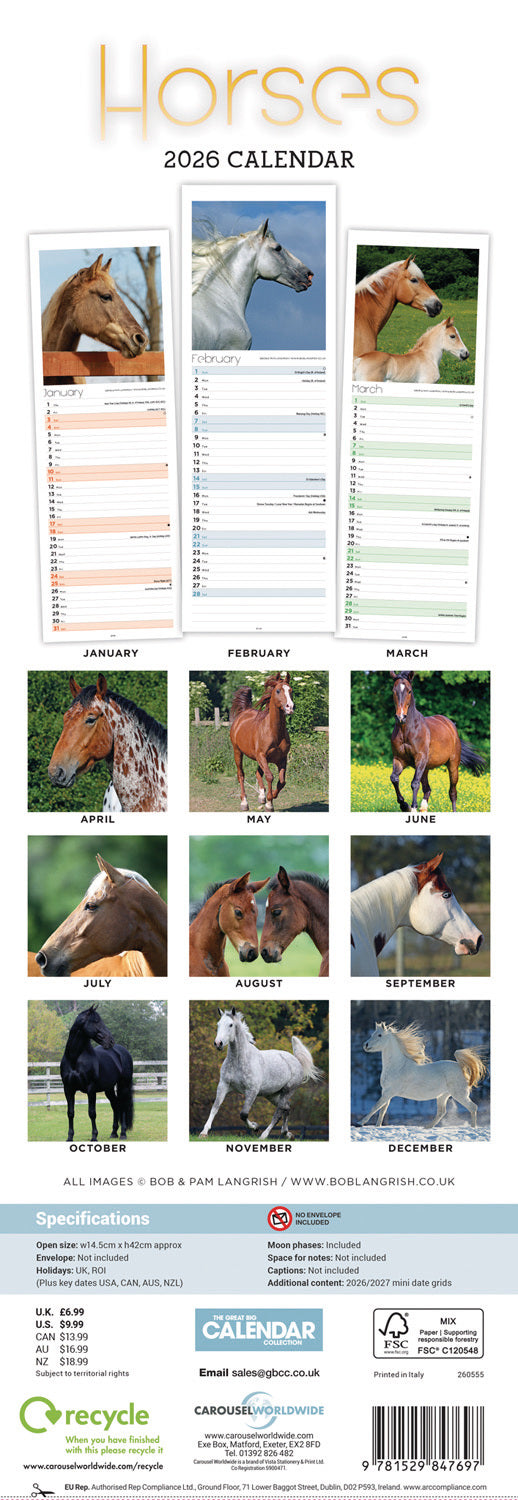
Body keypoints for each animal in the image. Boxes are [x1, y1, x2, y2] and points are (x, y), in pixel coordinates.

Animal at [60, 1005, 134, 1142]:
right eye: (96, 1021)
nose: (111, 1041)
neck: (74, 1058)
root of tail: (122, 1052)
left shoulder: (91, 1088)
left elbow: (92, 1113)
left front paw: (94, 1136)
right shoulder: (68, 1089)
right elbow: (70, 1113)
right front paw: (70, 1137)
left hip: (124, 1086)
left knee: (122, 1106)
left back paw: (123, 1134)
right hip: (109, 1089)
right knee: (115, 1105)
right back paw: (113, 1133)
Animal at [199, 1008, 323, 1138]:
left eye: (231, 1025)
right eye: (218, 1024)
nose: (218, 1043)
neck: (239, 1060)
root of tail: (296, 1061)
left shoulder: (252, 1091)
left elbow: (243, 1114)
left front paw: (255, 1126)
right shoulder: (223, 1085)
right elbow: (215, 1107)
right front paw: (204, 1132)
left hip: (287, 1091)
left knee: (278, 1113)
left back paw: (264, 1135)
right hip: (272, 1095)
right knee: (287, 1108)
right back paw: (287, 1134)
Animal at [229, 673, 294, 812]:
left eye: (291, 690)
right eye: (278, 690)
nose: (290, 707)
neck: (274, 732)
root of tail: (244, 712)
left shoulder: (282, 758)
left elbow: (282, 781)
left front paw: (270, 797)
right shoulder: (262, 756)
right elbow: (270, 776)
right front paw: (269, 804)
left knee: (258, 773)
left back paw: (262, 797)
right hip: (238, 752)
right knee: (241, 775)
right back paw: (244, 803)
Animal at [389, 672, 485, 812]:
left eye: (409, 691)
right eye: (393, 691)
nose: (400, 717)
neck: (407, 730)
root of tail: (451, 725)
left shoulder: (420, 758)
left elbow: (414, 783)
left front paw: (412, 807)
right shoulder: (399, 759)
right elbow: (394, 779)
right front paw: (405, 806)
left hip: (452, 765)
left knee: (452, 792)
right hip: (425, 768)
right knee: (427, 789)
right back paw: (423, 808)